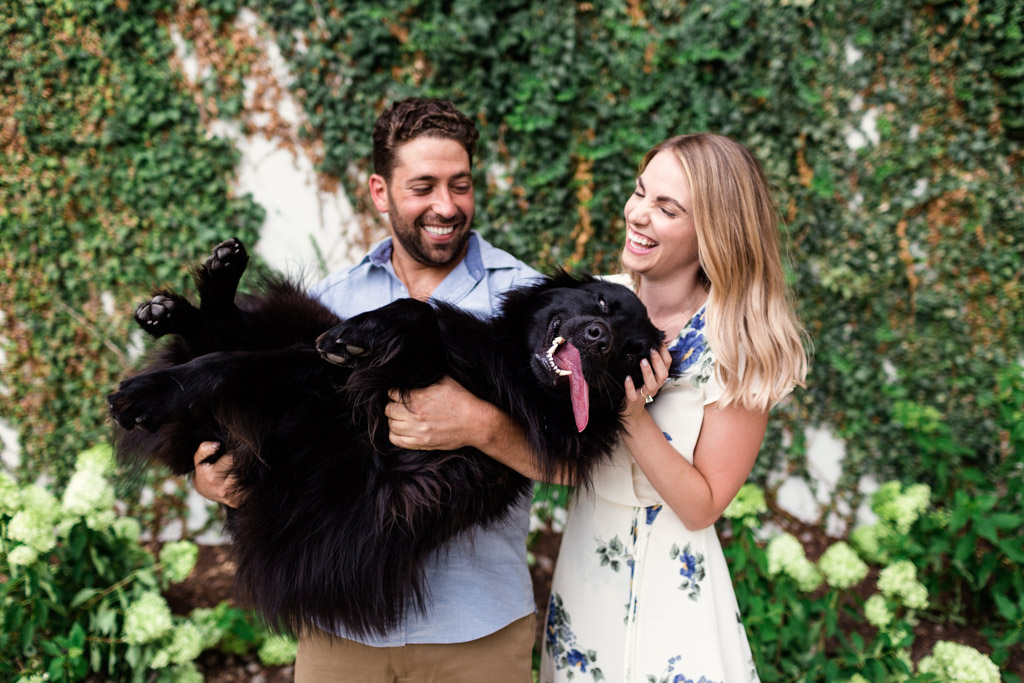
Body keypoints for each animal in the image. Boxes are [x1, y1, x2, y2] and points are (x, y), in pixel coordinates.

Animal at [105, 237, 663, 638]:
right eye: (601, 302)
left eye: (629, 355)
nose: (601, 339)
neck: (509, 371)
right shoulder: (328, 375)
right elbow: (404, 316)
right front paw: (363, 329)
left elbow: (236, 366)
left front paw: (152, 394)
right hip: (297, 325)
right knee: (227, 335)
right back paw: (192, 296)